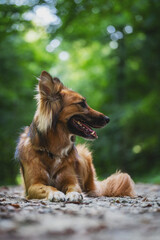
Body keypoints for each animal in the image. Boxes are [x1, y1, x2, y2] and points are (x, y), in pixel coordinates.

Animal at [15, 70, 135, 202]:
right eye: (81, 103)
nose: (107, 119)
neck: (53, 150)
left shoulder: (72, 180)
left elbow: (74, 187)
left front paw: (74, 194)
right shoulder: (33, 186)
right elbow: (47, 187)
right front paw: (56, 193)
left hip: (84, 156)